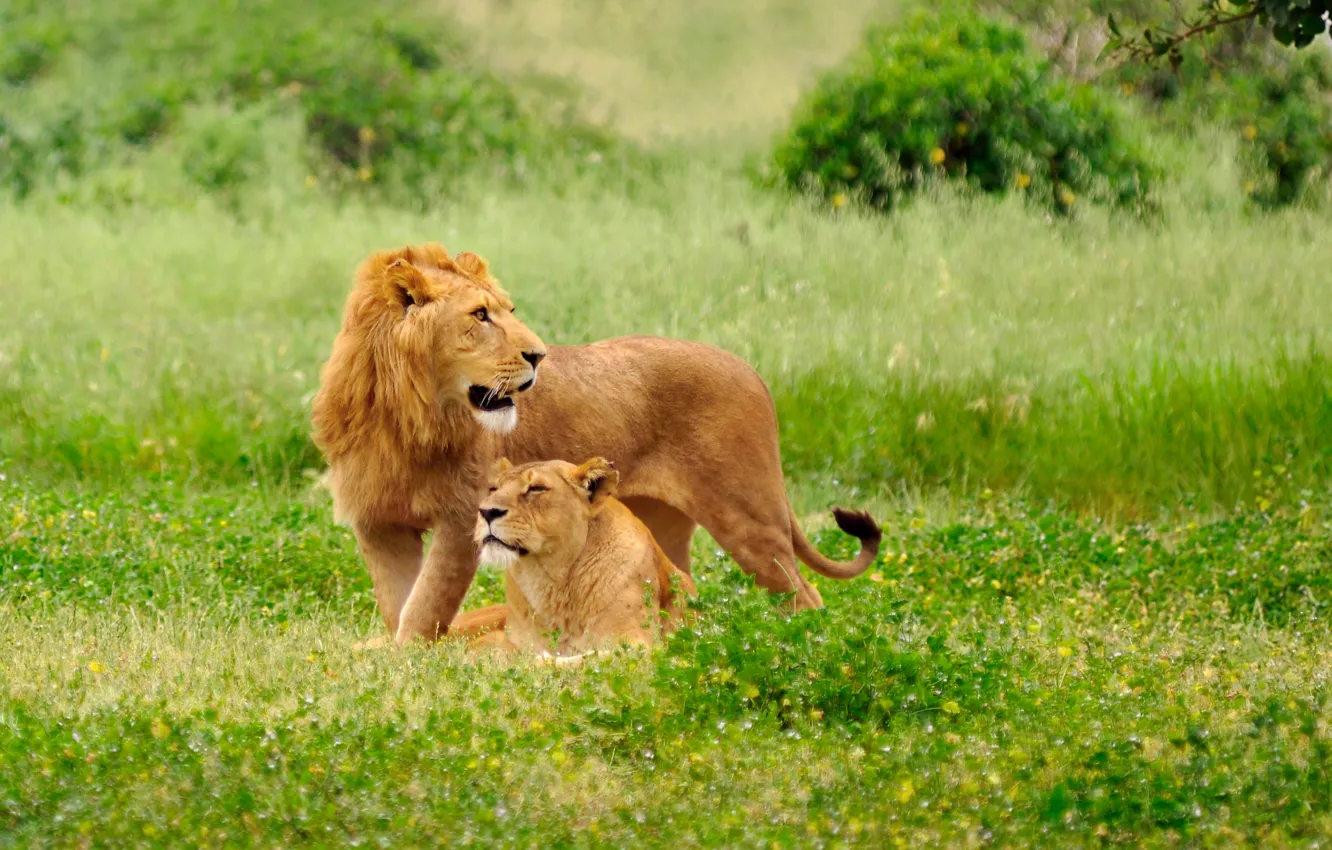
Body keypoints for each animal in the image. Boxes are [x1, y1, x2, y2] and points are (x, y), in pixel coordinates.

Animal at [447, 455, 697, 663]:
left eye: (536, 488)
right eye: (494, 488)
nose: (487, 512)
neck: (551, 581)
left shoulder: (638, 644)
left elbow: (587, 658)